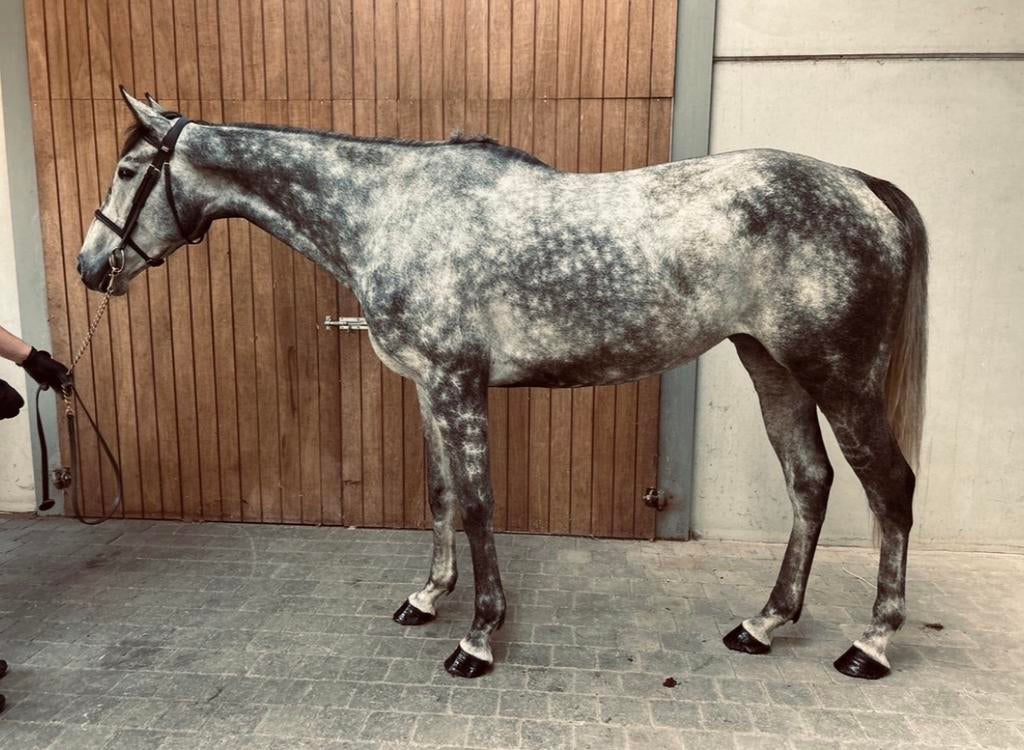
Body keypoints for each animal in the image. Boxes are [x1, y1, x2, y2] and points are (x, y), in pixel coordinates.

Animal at [77, 89, 927, 681]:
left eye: (127, 171)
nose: (89, 268)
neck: (391, 212)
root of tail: (860, 185)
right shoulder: (426, 388)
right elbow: (440, 493)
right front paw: (427, 599)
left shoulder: (459, 385)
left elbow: (481, 503)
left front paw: (479, 637)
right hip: (770, 365)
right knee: (809, 481)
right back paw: (764, 624)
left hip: (839, 378)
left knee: (889, 488)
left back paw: (871, 644)